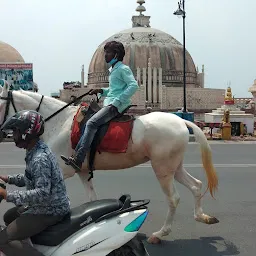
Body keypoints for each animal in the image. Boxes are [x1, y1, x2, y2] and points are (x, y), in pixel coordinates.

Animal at [0, 82, 219, 244]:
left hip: (162, 168)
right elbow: (92, 198)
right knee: (196, 185)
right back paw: (202, 216)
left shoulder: (63, 170)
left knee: (173, 198)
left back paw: (160, 234)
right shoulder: (81, 171)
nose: (3, 131)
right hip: (175, 166)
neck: (59, 122)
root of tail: (181, 121)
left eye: (0, 103)